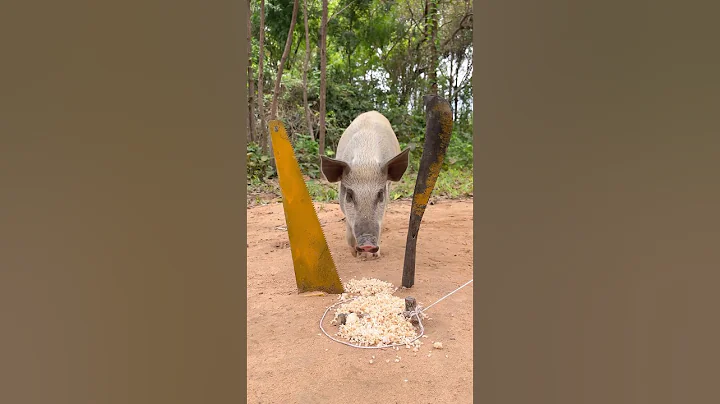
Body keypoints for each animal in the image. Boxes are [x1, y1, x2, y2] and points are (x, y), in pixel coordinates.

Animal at [320, 111, 410, 259]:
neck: (365, 162)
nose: (367, 244)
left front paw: (375, 256)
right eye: (349, 195)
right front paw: (355, 255)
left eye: (380, 194)